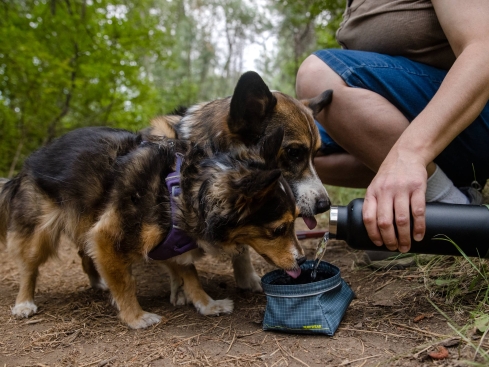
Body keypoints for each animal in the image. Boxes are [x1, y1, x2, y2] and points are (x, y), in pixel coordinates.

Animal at [0, 127, 304, 330]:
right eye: (279, 229)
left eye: (296, 220)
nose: (302, 261)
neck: (183, 191)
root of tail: (27, 164)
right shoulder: (108, 235)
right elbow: (127, 283)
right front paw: (135, 317)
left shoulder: (175, 242)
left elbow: (191, 277)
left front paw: (207, 305)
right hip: (40, 230)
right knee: (29, 268)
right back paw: (24, 303)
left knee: (85, 255)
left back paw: (99, 281)